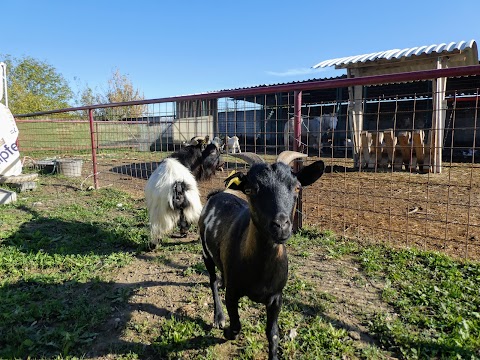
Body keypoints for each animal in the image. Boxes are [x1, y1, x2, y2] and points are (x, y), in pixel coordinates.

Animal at [197, 150, 324, 358]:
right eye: (250, 190)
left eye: (297, 187)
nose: (280, 225)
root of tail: (216, 194)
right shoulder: (233, 293)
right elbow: (236, 325)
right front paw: (226, 331)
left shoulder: (276, 298)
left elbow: (273, 334)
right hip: (205, 252)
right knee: (212, 280)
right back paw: (219, 317)